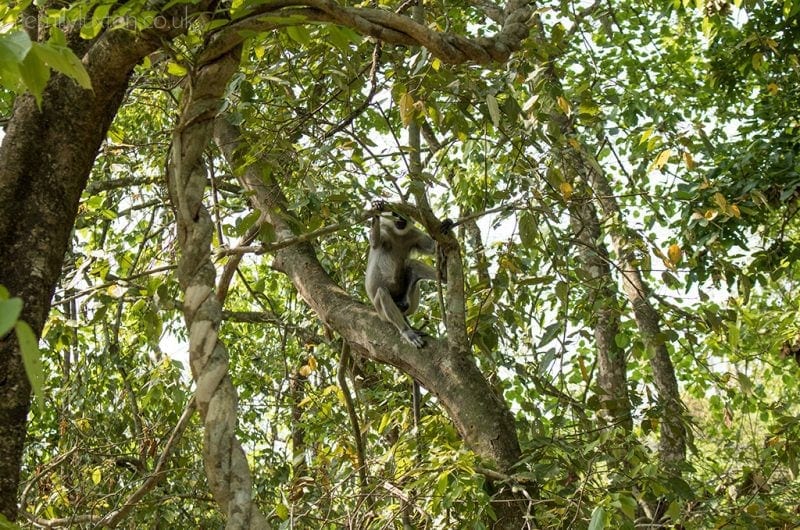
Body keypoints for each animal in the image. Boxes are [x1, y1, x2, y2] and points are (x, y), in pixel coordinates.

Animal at [368, 199, 454, 346]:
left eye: (404, 214)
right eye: (395, 214)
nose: (400, 219)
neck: (398, 234)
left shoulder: (413, 234)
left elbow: (432, 247)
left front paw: (447, 223)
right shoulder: (386, 230)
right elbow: (375, 243)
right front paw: (377, 209)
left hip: (407, 302)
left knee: (413, 265)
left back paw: (444, 276)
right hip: (381, 312)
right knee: (382, 292)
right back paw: (407, 332)